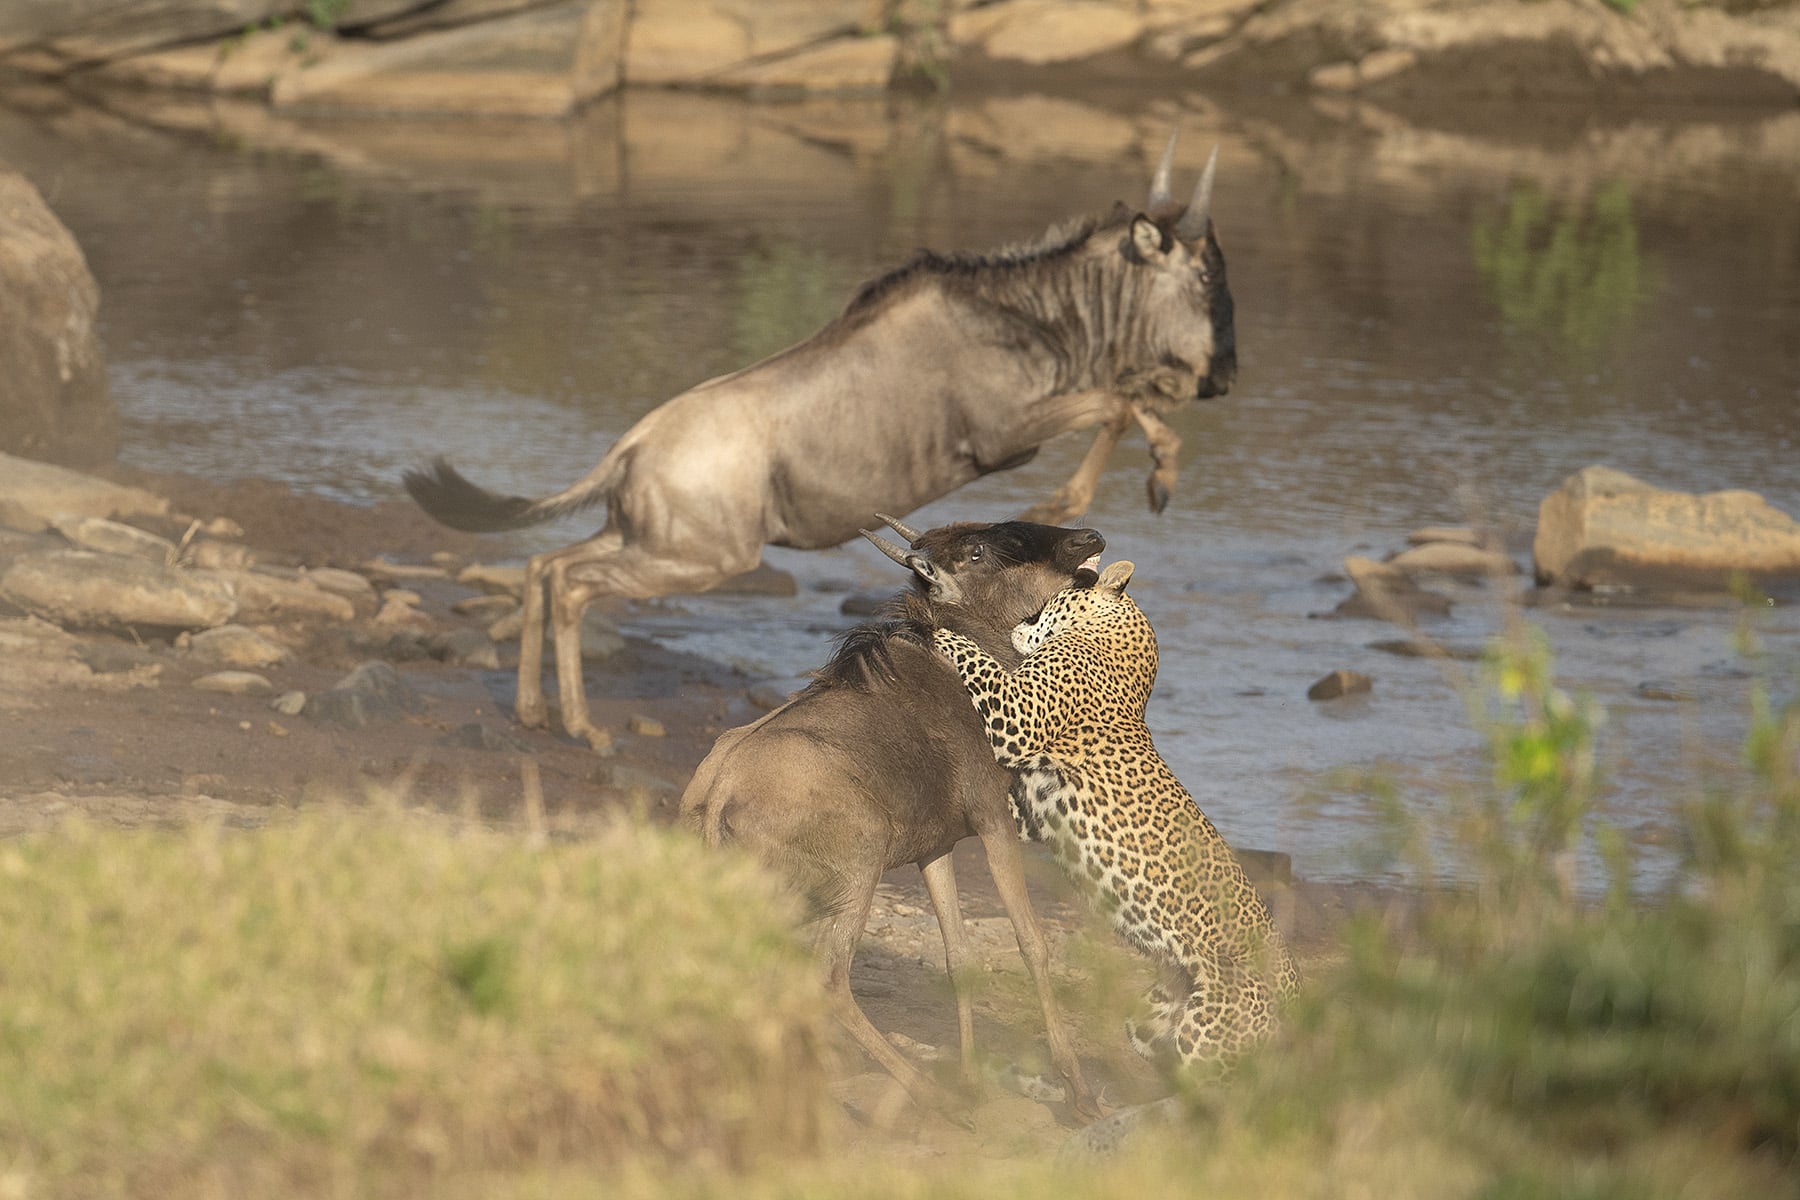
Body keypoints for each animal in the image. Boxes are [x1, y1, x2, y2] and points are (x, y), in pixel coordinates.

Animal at [936, 557, 1303, 1072]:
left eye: (1050, 601)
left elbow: (977, 661)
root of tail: (1297, 993)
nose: (1018, 623)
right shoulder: (1031, 810)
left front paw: (938, 629)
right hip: (1155, 1021)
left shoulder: (1017, 714)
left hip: (1209, 1040)